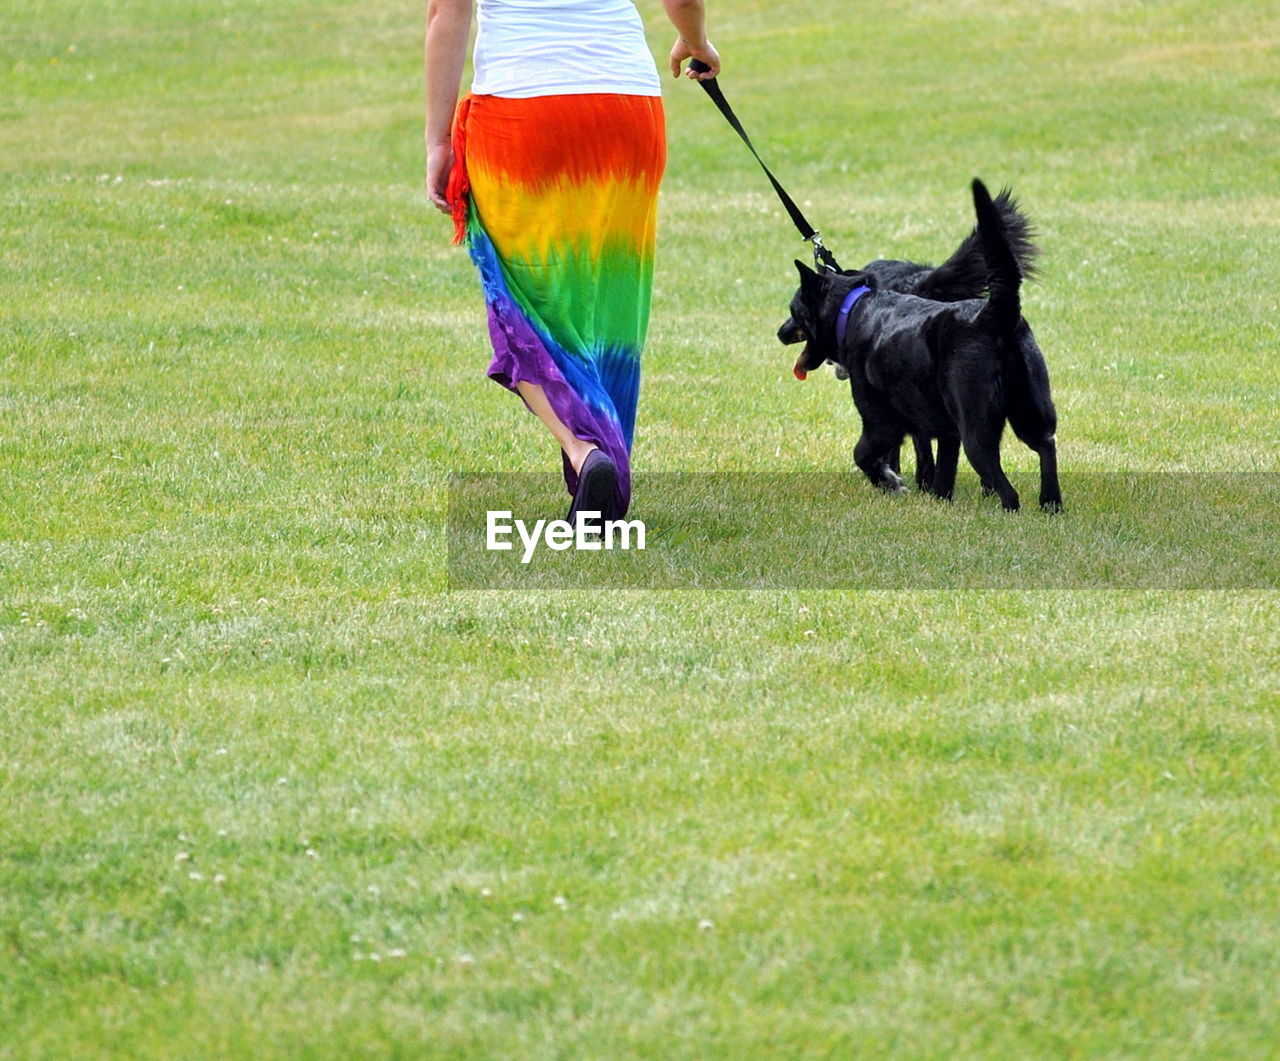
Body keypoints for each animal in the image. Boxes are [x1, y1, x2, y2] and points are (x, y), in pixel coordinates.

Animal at [778, 180, 1059, 511]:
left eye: (794, 310)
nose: (780, 333)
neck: (853, 306)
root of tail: (994, 313)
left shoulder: (882, 422)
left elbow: (863, 455)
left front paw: (891, 483)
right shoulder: (944, 430)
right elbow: (943, 471)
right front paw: (938, 501)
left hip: (976, 427)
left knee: (1006, 488)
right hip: (1031, 410)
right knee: (1045, 446)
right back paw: (1050, 504)